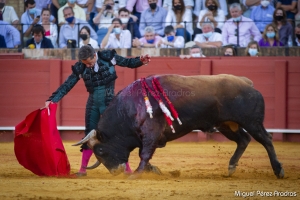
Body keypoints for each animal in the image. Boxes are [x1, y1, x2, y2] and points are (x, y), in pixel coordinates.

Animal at [74, 73, 284, 178]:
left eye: (101, 151)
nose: (115, 172)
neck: (128, 109)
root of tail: (247, 82)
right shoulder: (147, 136)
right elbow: (145, 153)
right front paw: (152, 170)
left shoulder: (151, 131)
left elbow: (144, 153)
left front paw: (137, 173)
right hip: (226, 124)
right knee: (243, 139)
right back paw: (231, 167)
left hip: (252, 122)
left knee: (266, 139)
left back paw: (278, 170)